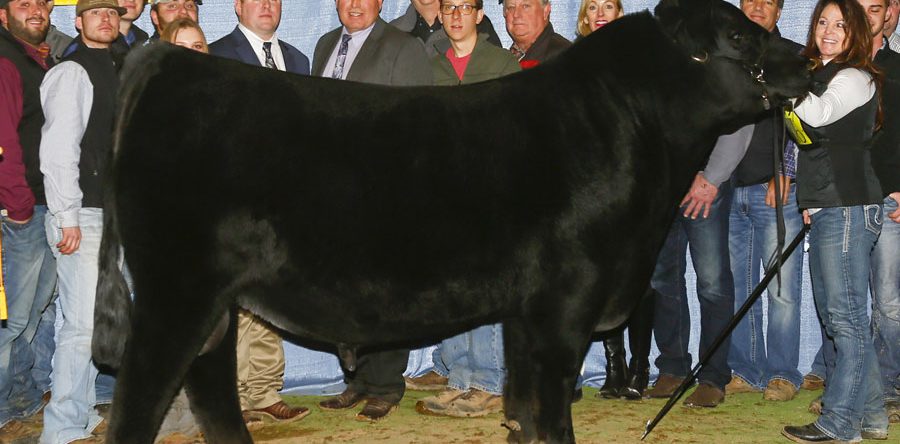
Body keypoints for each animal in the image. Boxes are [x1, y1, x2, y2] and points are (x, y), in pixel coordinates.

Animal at [91, 0, 810, 442]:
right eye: (738, 35)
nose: (807, 61)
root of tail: (168, 61)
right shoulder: (564, 304)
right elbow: (551, 415)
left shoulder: (526, 312)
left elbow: (525, 412)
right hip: (177, 292)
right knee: (142, 397)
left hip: (212, 301)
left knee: (210, 386)